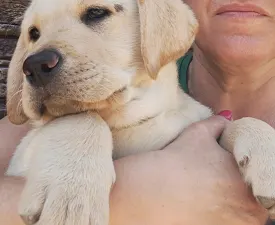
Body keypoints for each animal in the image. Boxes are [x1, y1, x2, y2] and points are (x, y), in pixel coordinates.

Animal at [4, 0, 275, 224]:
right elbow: (80, 115)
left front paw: (266, 152)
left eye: (96, 12)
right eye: (33, 33)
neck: (130, 119)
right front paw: (71, 194)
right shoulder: (21, 157)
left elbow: (234, 122)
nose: (35, 65)